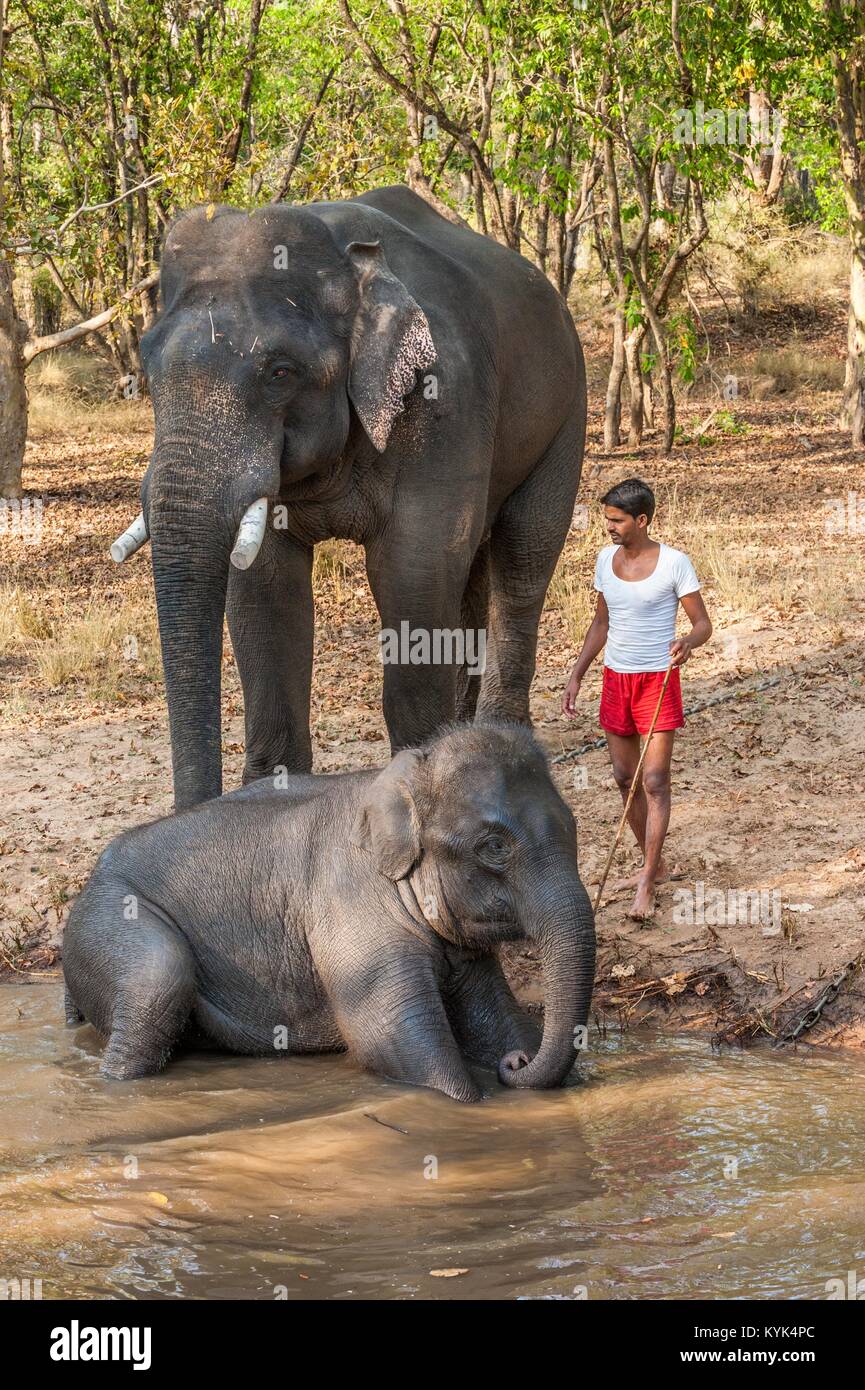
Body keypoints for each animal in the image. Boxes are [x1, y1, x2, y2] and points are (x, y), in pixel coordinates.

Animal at [62, 722, 595, 1100]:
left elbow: (492, 1016)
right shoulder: (352, 912)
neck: (399, 781)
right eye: (494, 847)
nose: (517, 1063)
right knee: (156, 981)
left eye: (574, 827)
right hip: (108, 918)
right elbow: (390, 1040)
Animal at [113, 187, 589, 811]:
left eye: (280, 372)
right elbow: (265, 592)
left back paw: (503, 741)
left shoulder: (444, 400)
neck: (345, 258)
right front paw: (270, 797)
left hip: (567, 409)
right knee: (475, 568)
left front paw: (424, 786)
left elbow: (413, 572)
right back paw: (470, 736)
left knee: (525, 551)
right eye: (148, 367)